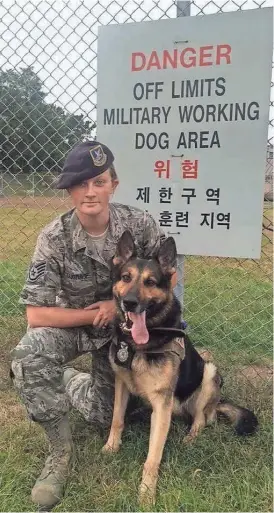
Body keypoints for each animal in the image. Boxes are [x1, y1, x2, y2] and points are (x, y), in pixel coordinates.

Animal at [101, 231, 258, 504]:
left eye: (151, 281)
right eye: (126, 277)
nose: (130, 303)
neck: (142, 343)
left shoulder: (161, 404)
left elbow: (153, 457)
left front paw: (146, 494)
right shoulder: (122, 384)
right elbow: (116, 420)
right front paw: (111, 447)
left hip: (209, 372)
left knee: (202, 420)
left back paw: (190, 438)